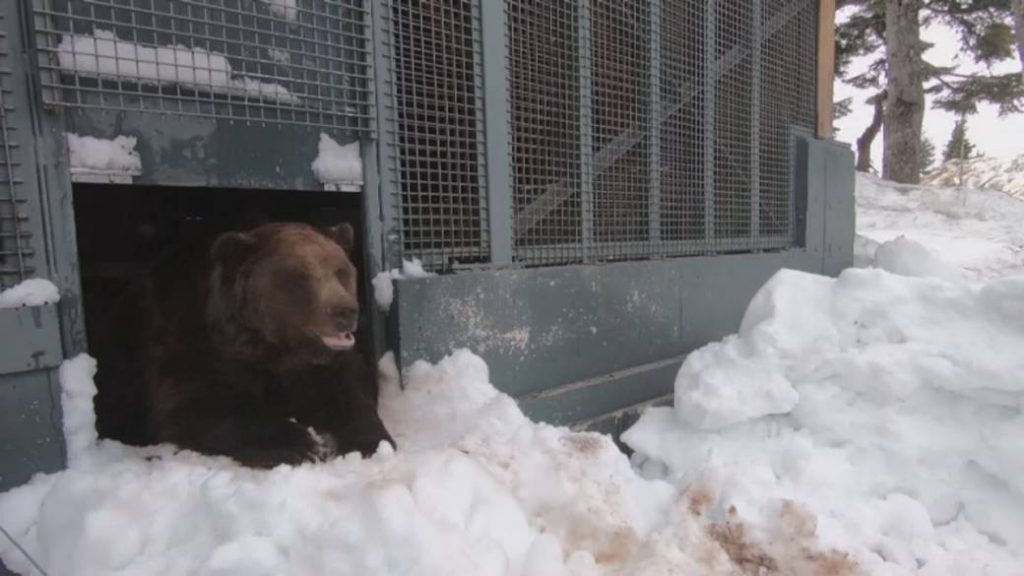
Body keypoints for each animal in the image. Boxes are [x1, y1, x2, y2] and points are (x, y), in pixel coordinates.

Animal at [143, 221, 394, 468]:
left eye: (340, 270)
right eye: (300, 276)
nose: (345, 311)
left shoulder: (324, 364)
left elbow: (352, 388)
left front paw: (370, 443)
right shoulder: (195, 347)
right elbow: (195, 404)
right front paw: (300, 445)